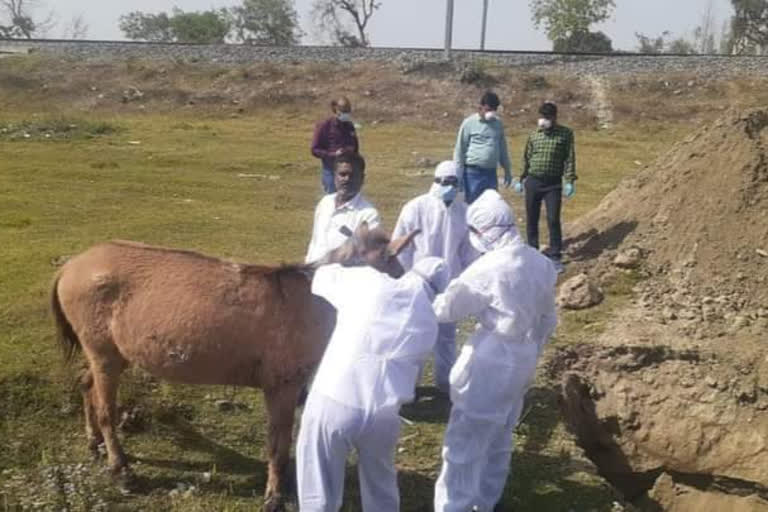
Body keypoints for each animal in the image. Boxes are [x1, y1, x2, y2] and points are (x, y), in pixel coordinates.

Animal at [50, 225, 416, 512]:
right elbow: (277, 444)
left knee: (87, 385)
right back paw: (120, 469)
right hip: (104, 354)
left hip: (110, 353)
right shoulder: (282, 386)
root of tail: (72, 266)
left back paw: (94, 442)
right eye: (391, 269)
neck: (314, 300)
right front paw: (274, 496)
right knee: (105, 409)